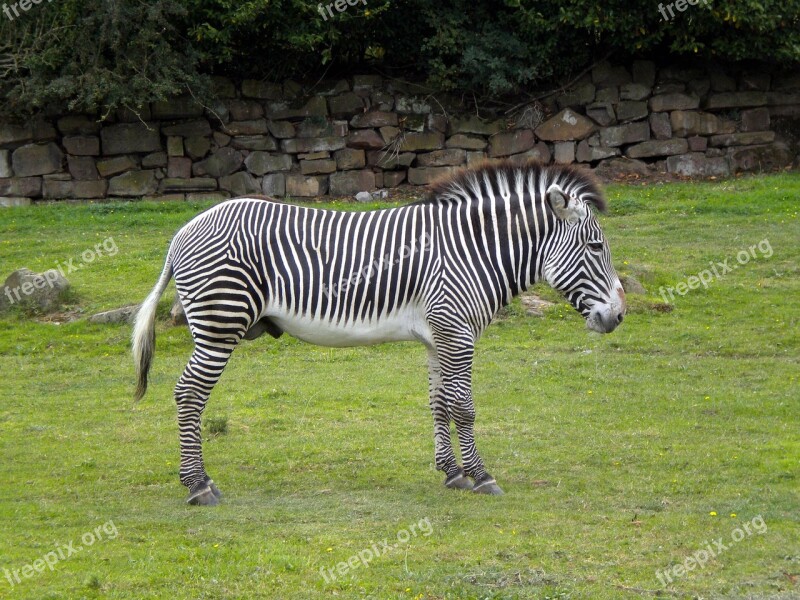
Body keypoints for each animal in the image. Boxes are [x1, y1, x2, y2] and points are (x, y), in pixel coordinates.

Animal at [133, 161, 624, 506]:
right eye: (596, 247)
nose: (619, 316)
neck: (472, 251)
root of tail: (182, 233)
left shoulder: (438, 336)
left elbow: (439, 404)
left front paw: (452, 472)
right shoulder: (457, 331)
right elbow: (464, 409)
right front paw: (482, 476)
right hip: (220, 324)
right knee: (189, 395)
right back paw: (198, 486)